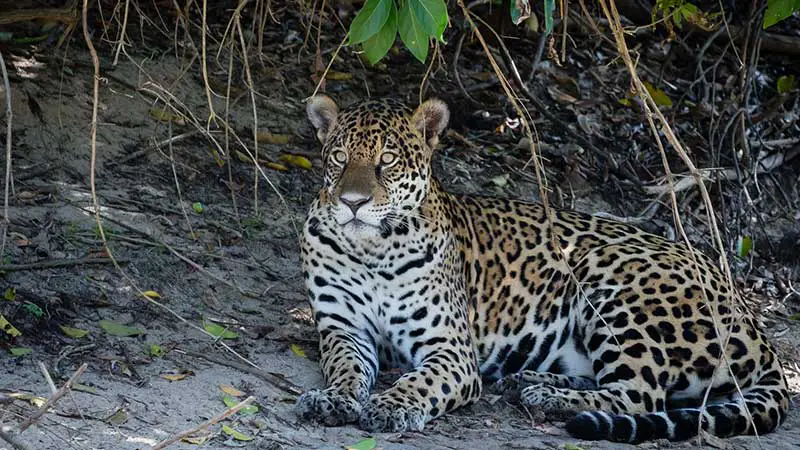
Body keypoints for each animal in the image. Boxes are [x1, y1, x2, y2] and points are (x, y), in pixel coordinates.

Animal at [294, 94, 790, 443]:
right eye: (339, 158)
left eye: (388, 161)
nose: (352, 202)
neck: (372, 248)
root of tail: (757, 328)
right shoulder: (343, 329)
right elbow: (345, 367)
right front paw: (333, 399)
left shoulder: (451, 350)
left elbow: (420, 381)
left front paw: (390, 405)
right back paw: (527, 379)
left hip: (612, 274)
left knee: (639, 393)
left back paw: (546, 396)